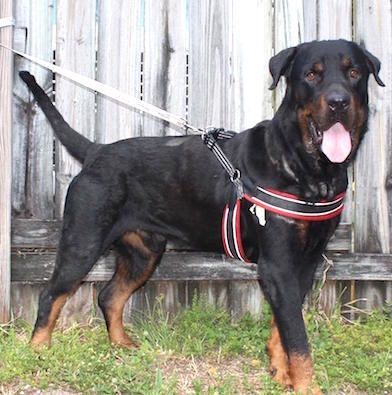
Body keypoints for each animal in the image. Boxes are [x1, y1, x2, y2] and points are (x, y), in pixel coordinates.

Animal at [19, 39, 382, 392]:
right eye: (311, 75)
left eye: (354, 72)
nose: (338, 102)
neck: (308, 169)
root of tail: (95, 151)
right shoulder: (278, 266)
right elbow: (298, 340)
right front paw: (306, 385)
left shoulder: (305, 262)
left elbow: (283, 326)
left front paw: (281, 372)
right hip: (83, 240)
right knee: (51, 295)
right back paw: (37, 352)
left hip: (144, 251)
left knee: (109, 296)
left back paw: (123, 344)